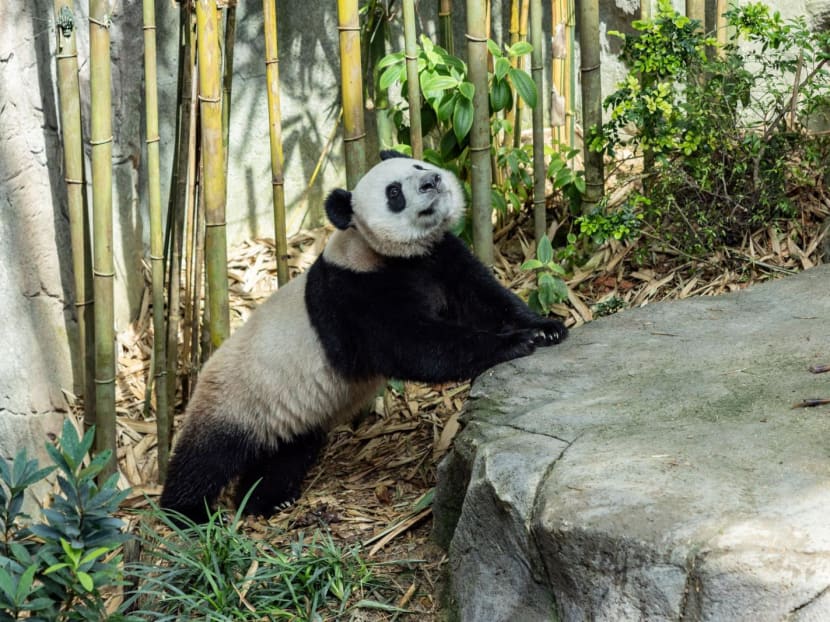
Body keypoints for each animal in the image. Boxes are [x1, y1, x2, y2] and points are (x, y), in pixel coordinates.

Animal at [160, 151, 567, 522]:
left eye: (417, 165)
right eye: (394, 192)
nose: (432, 180)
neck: (385, 254)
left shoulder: (441, 256)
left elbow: (484, 298)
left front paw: (545, 327)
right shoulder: (354, 295)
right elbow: (414, 346)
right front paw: (514, 343)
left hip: (293, 417)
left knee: (287, 454)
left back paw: (265, 501)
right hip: (237, 398)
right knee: (207, 458)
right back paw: (187, 513)